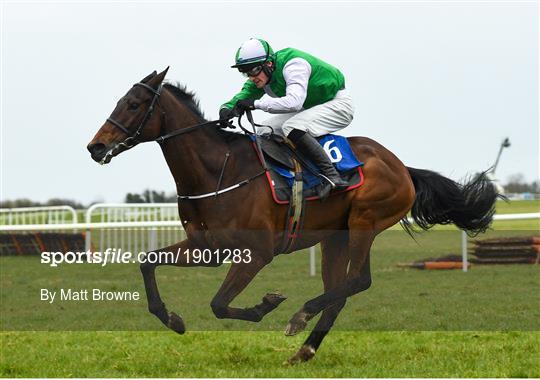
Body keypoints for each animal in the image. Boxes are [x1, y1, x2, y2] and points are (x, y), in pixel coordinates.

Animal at [88, 69, 498, 366]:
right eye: (121, 100)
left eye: (134, 104)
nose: (96, 146)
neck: (217, 169)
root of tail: (402, 168)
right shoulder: (208, 248)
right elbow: (147, 262)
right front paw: (172, 319)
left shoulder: (256, 253)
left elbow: (219, 304)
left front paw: (266, 304)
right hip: (336, 237)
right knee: (340, 292)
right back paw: (305, 349)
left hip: (364, 223)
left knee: (358, 281)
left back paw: (301, 315)